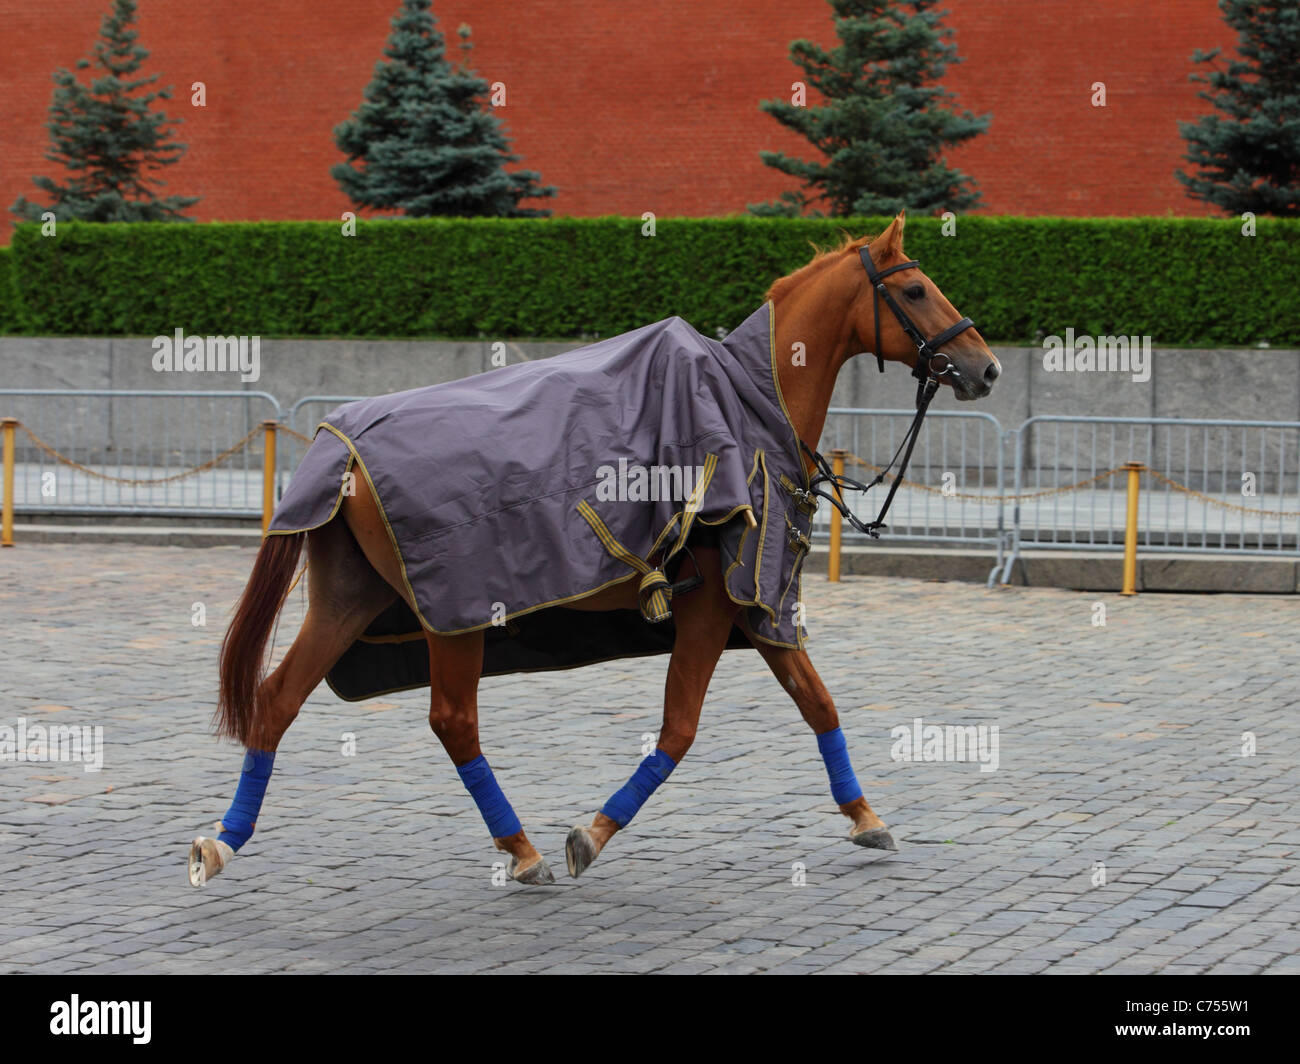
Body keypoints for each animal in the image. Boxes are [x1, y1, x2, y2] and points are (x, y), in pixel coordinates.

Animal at [189, 209, 1003, 889]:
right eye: (918, 289)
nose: (986, 365)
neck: (747, 404)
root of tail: (338, 447)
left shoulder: (755, 603)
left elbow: (819, 703)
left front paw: (867, 817)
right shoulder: (714, 605)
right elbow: (679, 729)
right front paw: (594, 832)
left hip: (351, 600)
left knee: (275, 701)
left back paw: (225, 841)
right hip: (456, 616)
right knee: (452, 721)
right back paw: (521, 850)